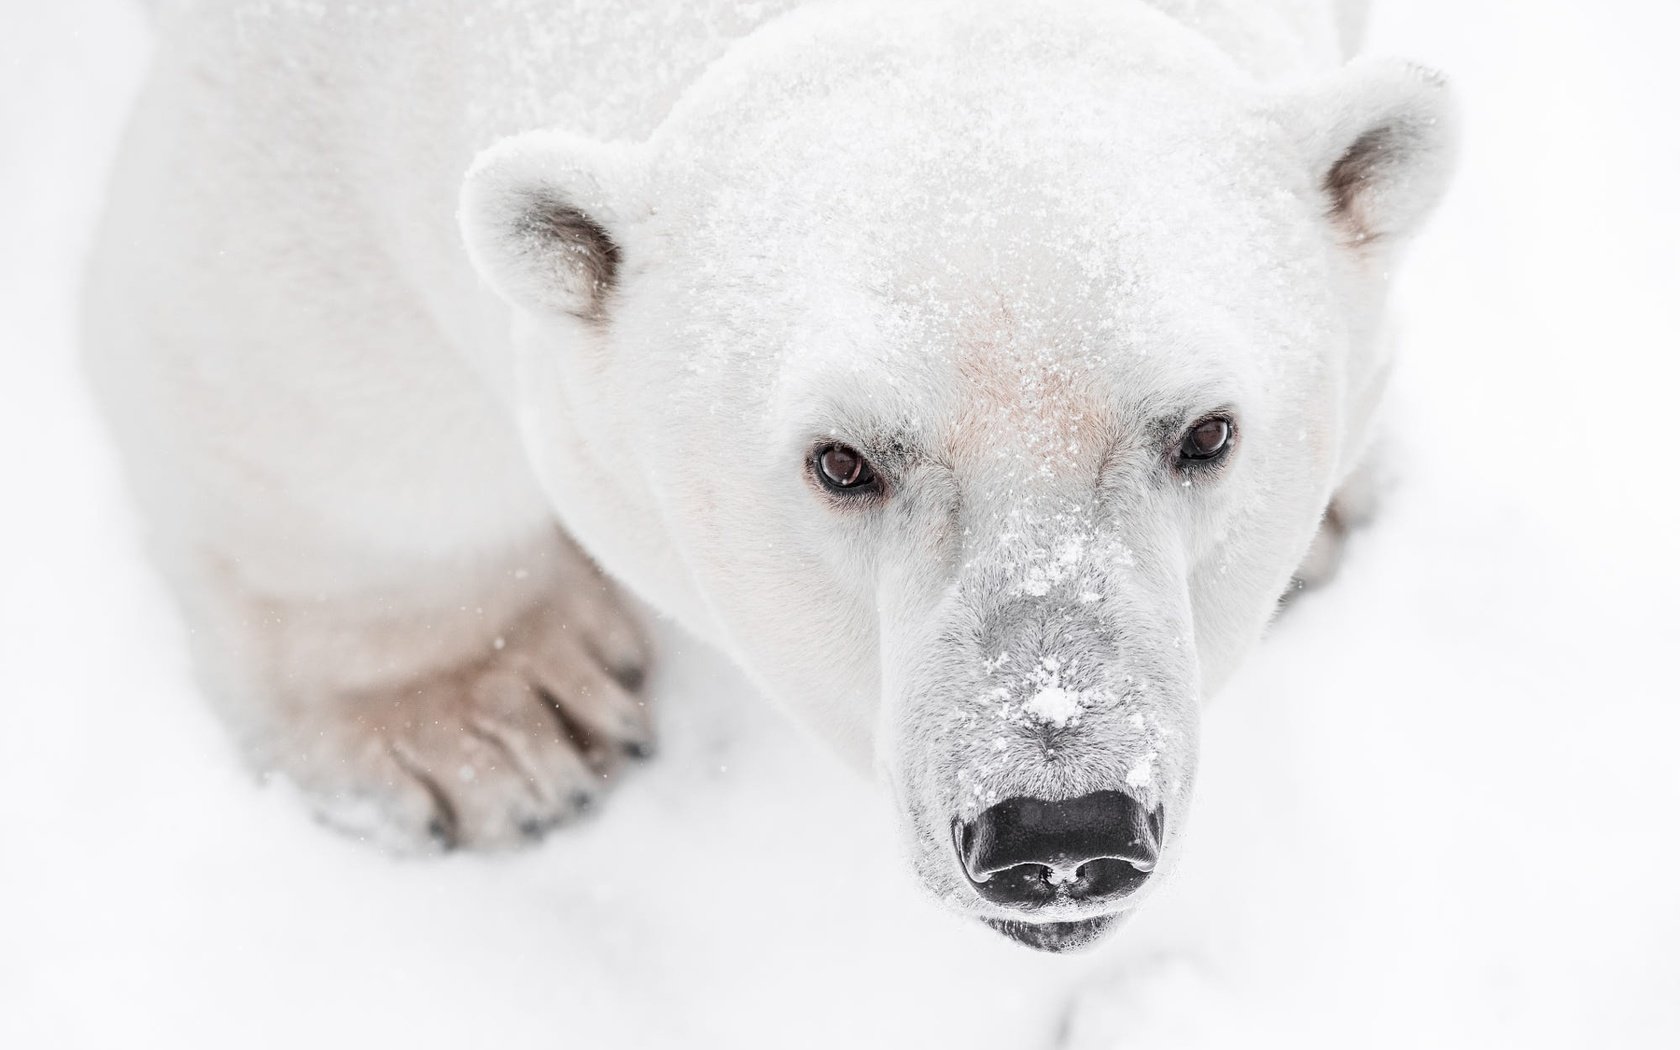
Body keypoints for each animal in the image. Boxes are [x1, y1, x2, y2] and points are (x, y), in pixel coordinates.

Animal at [85, 0, 1458, 947]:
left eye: (1207, 433)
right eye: (842, 462)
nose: (1062, 830)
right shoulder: (296, 97)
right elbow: (309, 384)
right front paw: (490, 725)